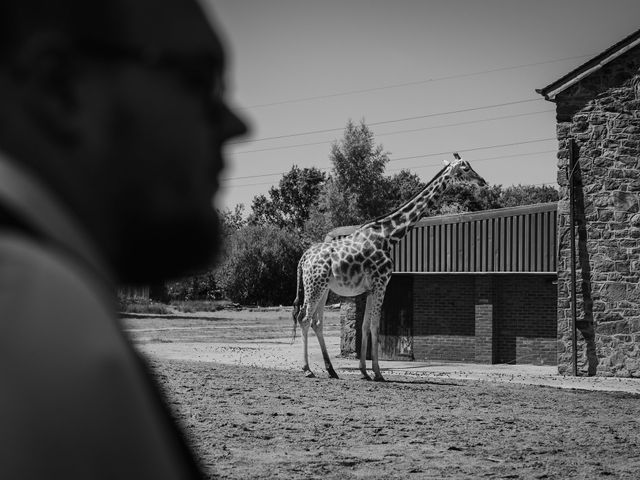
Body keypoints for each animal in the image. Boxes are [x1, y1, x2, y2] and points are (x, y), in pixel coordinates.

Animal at [292, 154, 488, 382]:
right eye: (465, 169)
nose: (482, 181)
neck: (389, 236)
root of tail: (303, 258)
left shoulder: (370, 288)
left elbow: (365, 325)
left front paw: (364, 371)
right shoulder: (381, 283)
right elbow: (375, 326)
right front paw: (377, 373)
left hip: (323, 288)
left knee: (316, 322)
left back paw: (331, 370)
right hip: (314, 286)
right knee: (304, 318)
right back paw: (307, 369)